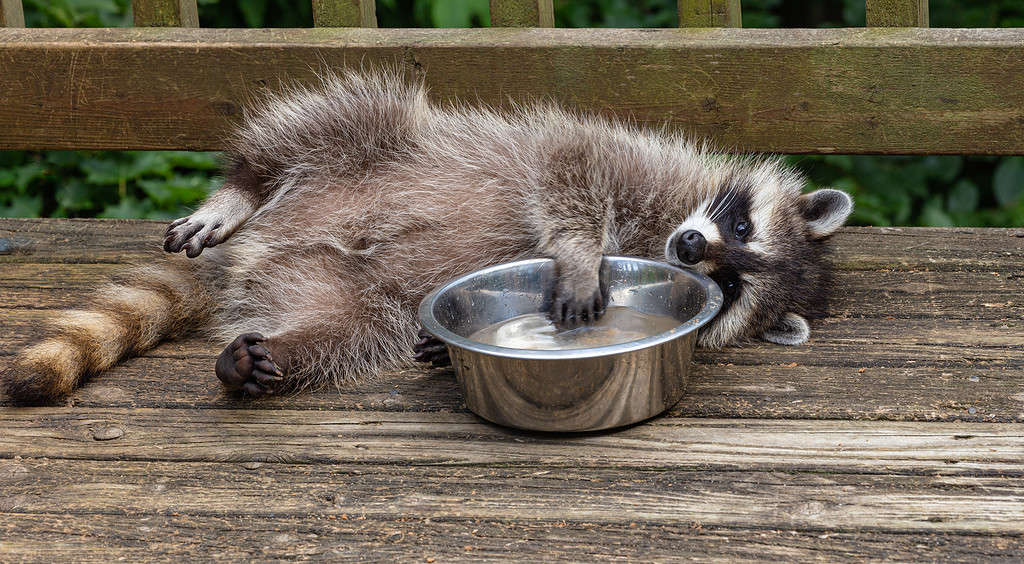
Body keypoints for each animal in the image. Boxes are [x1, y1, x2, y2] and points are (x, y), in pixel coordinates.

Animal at [0, 70, 851, 403]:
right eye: (739, 223)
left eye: (734, 285)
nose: (690, 251)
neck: (659, 226)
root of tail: (256, 249)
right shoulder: (629, 160)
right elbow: (568, 166)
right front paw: (580, 255)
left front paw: (442, 350)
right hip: (376, 145)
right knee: (335, 115)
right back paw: (241, 186)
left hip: (339, 288)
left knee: (345, 328)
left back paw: (273, 356)